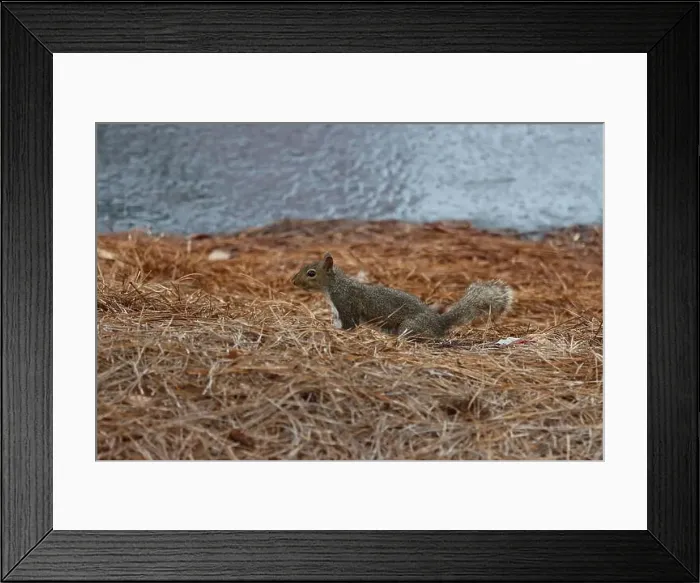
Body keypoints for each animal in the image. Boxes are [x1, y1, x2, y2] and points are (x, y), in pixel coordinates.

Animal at [292, 252, 513, 339]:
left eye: (311, 273)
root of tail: (439, 323)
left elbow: (348, 325)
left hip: (410, 326)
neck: (335, 286)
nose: (293, 281)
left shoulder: (347, 305)